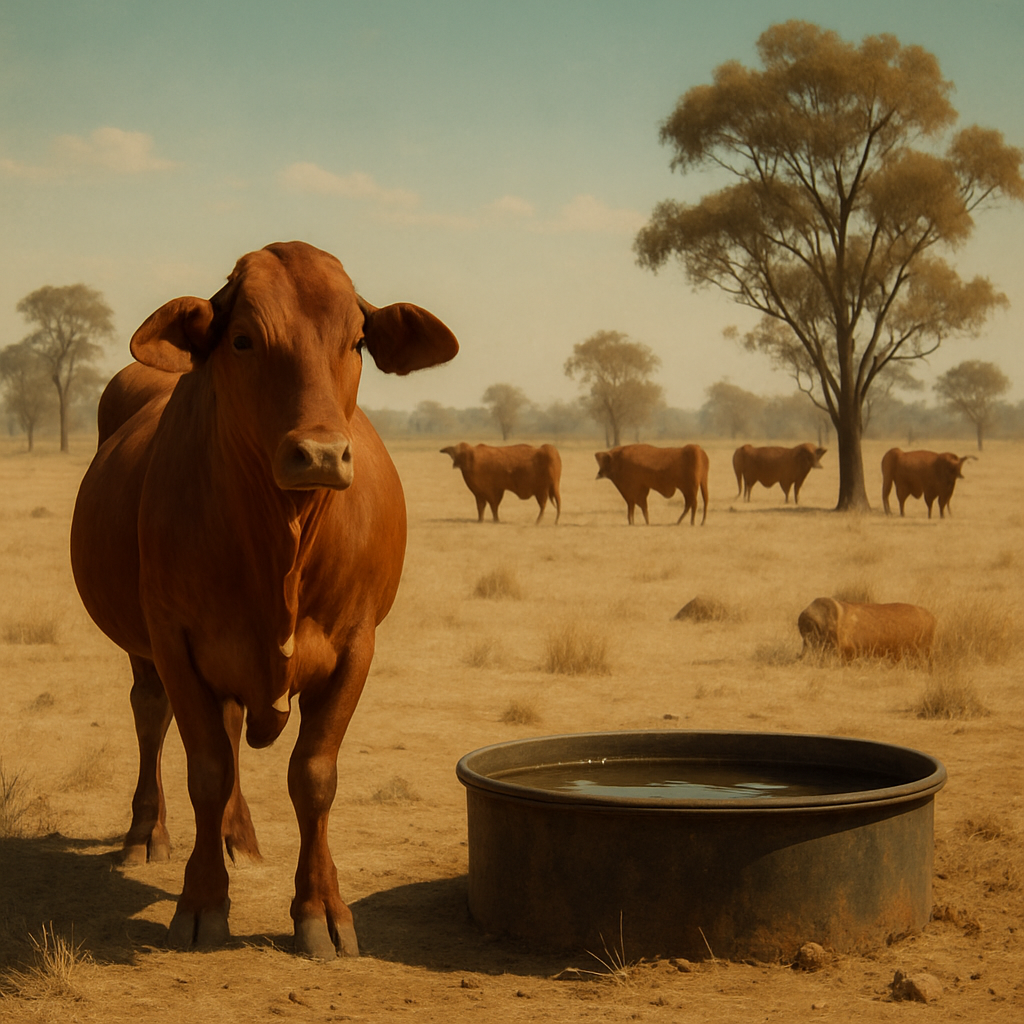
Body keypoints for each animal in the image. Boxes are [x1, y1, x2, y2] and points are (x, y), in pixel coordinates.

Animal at [70, 242, 458, 959]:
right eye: (244, 339)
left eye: (357, 341)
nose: (321, 454)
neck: (282, 537)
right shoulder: (174, 640)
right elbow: (206, 770)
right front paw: (201, 902)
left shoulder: (355, 646)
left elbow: (313, 775)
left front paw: (321, 909)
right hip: (145, 649)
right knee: (150, 716)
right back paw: (147, 835)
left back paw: (240, 838)